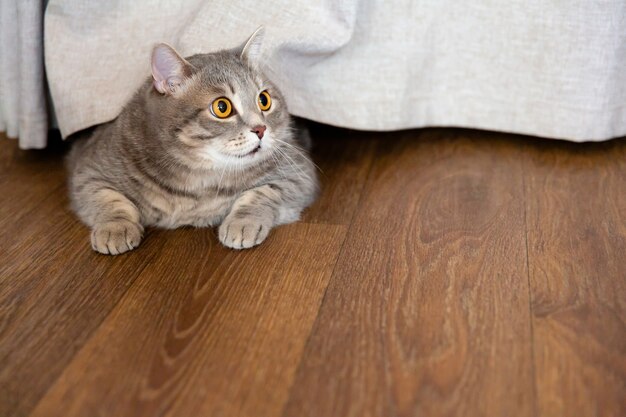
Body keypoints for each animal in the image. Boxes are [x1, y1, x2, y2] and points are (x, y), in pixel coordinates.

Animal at [68, 28, 316, 254]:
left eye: (264, 100)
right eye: (222, 107)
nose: (261, 129)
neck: (198, 176)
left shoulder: (299, 174)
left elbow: (263, 192)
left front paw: (243, 223)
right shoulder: (89, 171)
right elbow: (110, 199)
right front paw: (114, 228)